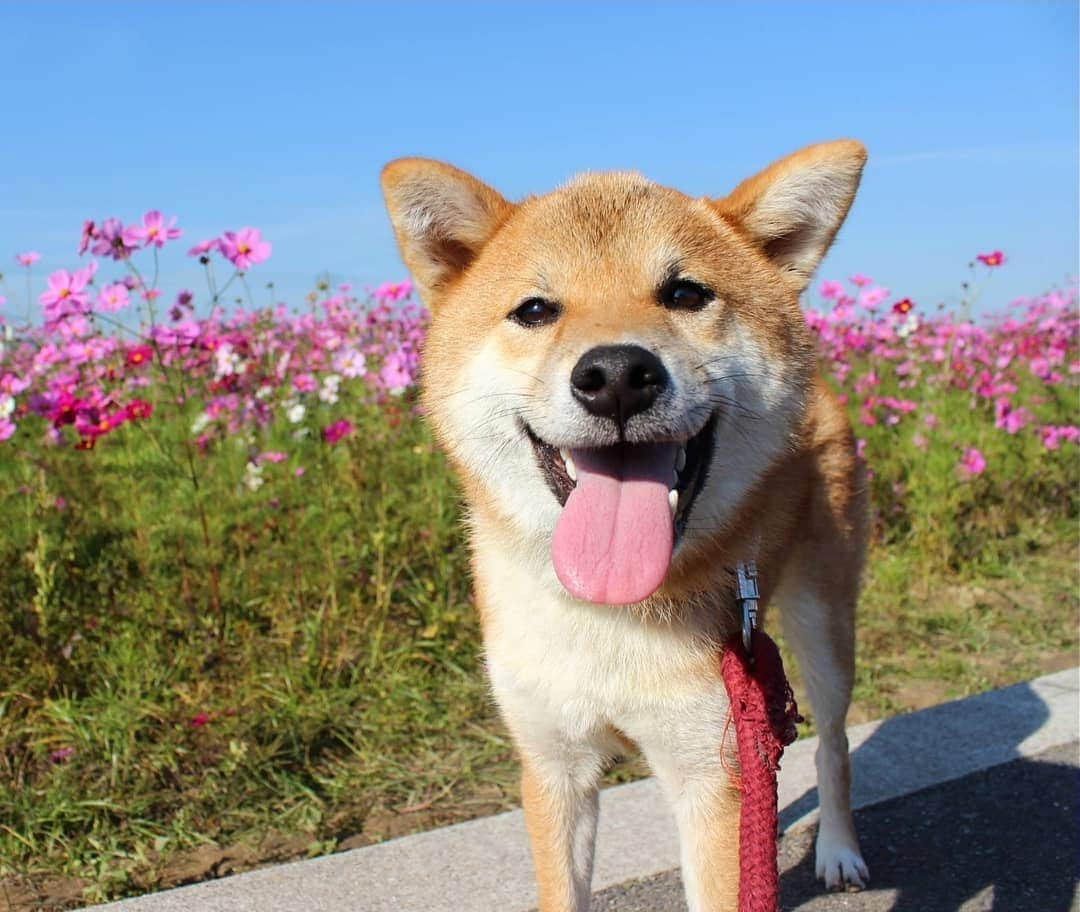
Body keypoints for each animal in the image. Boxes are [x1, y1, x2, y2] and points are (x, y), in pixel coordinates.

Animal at [380, 139, 868, 907]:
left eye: (686, 294)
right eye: (535, 309)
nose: (615, 374)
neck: (608, 613)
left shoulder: (709, 773)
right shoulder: (554, 764)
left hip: (820, 628)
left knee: (836, 744)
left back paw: (840, 852)